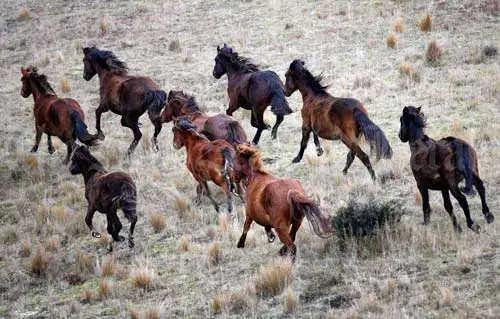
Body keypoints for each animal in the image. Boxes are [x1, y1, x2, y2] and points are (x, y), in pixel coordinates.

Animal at [398, 106, 492, 234]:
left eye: (401, 120)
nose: (400, 136)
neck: (418, 146)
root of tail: (455, 143)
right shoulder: (443, 187)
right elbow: (448, 206)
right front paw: (456, 228)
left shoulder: (421, 185)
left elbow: (426, 206)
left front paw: (426, 223)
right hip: (472, 174)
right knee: (481, 188)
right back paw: (488, 216)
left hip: (453, 184)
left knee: (463, 200)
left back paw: (472, 225)